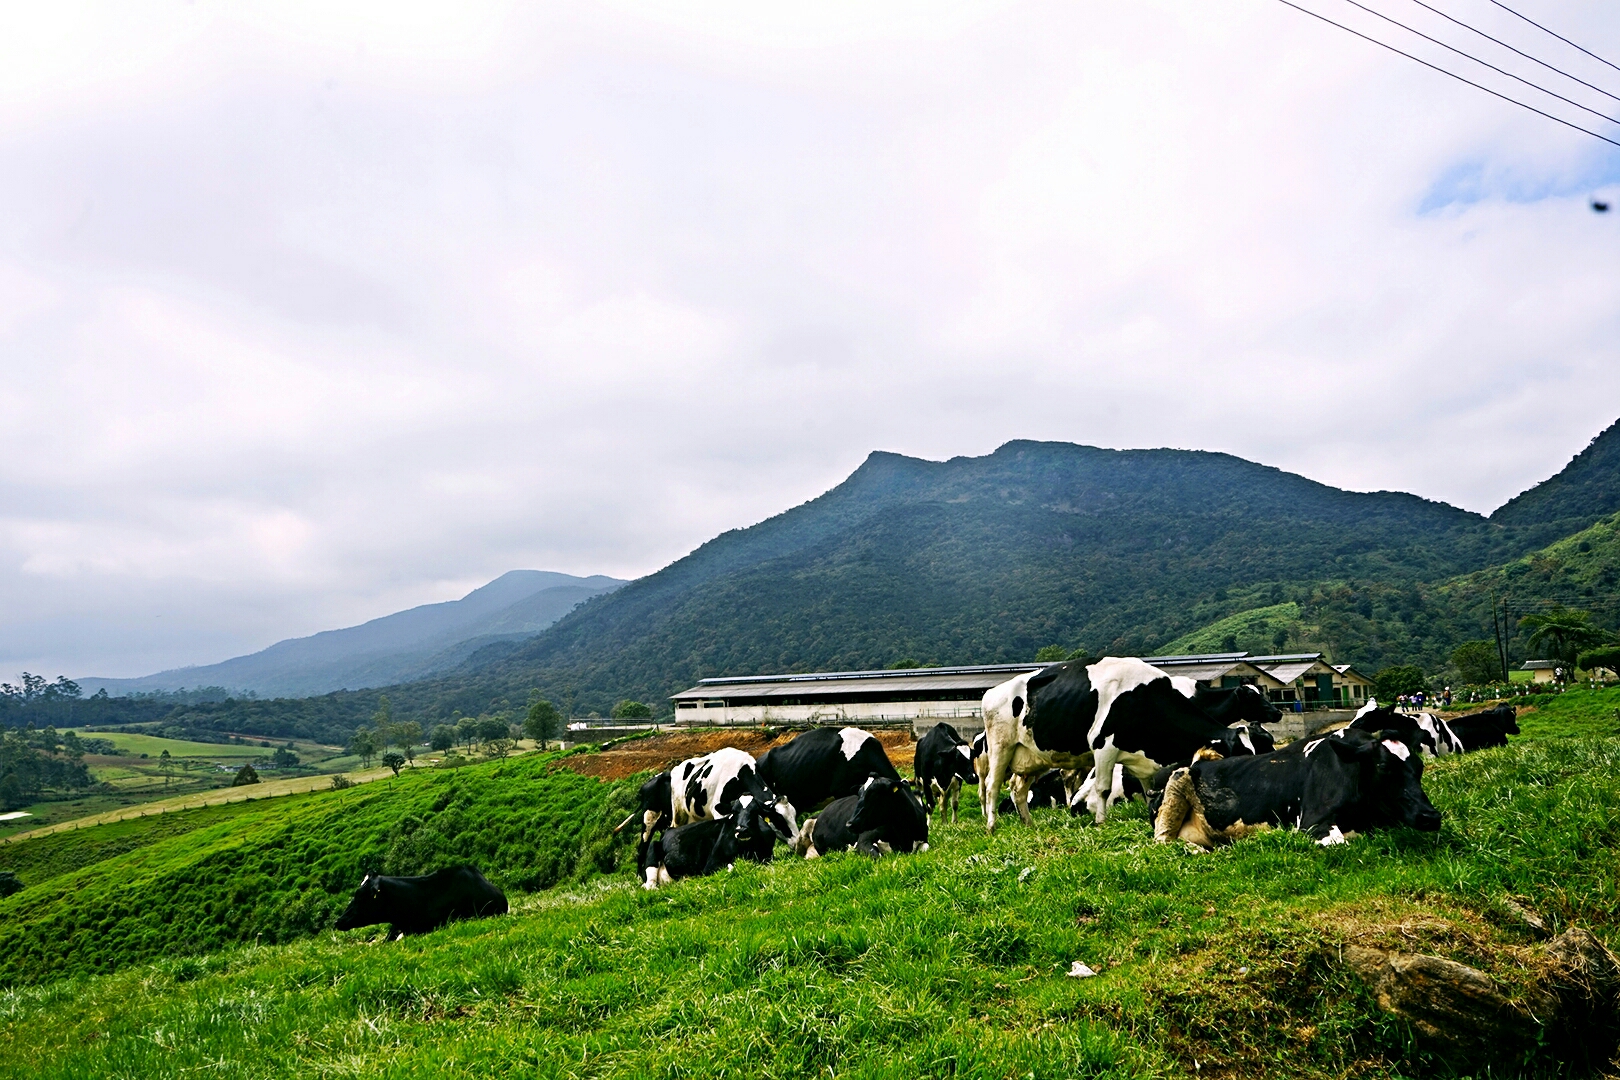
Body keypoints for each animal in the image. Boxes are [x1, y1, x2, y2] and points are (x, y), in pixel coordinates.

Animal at [641, 790, 800, 893]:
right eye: (734, 812)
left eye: (755, 811)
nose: (741, 830)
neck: (747, 848)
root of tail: (668, 831)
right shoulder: (711, 865)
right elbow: (731, 867)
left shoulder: (768, 856)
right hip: (653, 847)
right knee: (650, 883)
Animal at [1153, 725, 1445, 854]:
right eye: (1383, 766)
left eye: (1419, 767)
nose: (1430, 816)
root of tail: (1199, 761)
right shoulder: (1311, 823)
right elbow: (1341, 844)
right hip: (1176, 785)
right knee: (1162, 841)